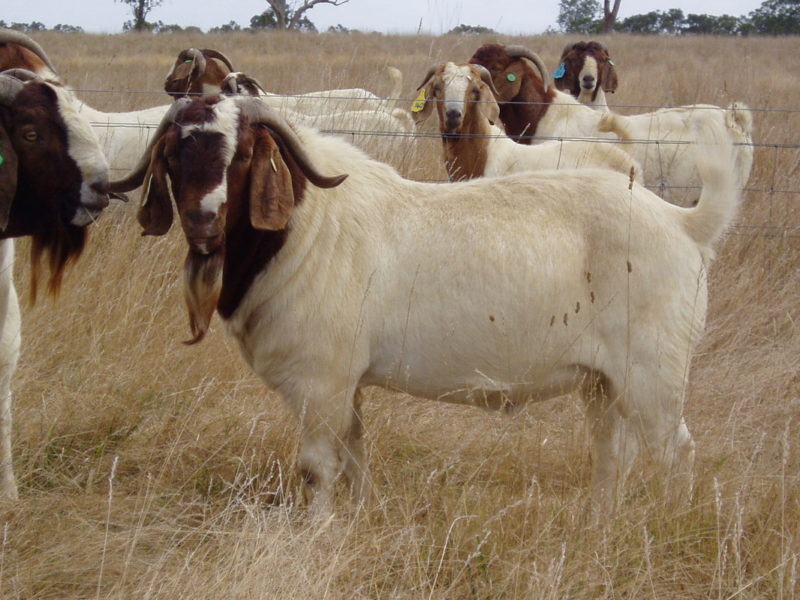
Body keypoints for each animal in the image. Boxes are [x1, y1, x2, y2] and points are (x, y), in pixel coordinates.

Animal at [109, 96, 740, 516]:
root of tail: (684, 224)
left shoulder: (320, 382)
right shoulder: (346, 386)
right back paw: (599, 526)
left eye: (241, 155)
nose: (201, 220)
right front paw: (356, 520)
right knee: (614, 454)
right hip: (602, 383)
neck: (308, 227)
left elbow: (317, 469)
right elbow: (356, 457)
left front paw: (317, 530)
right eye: (174, 154)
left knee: (676, 453)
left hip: (653, 374)